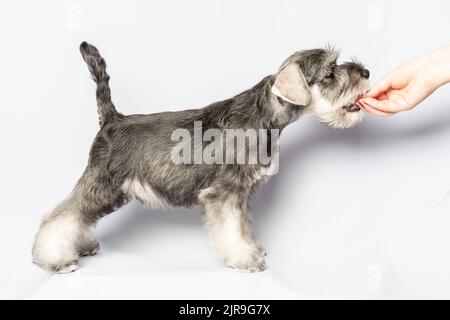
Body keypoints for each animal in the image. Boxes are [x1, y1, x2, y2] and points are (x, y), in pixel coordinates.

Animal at [31, 42, 370, 272]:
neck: (263, 116)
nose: (365, 72)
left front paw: (251, 250)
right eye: (330, 72)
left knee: (76, 215)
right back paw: (55, 258)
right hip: (103, 184)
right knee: (60, 215)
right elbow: (232, 228)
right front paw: (244, 258)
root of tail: (112, 119)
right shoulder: (225, 193)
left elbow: (243, 226)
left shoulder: (240, 194)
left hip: (112, 192)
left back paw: (80, 245)